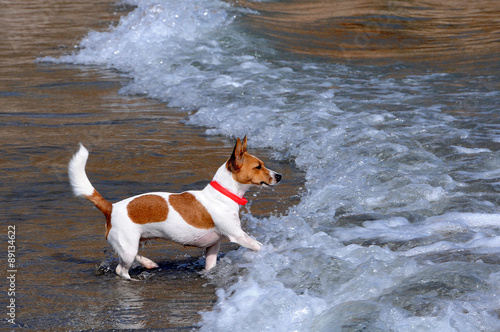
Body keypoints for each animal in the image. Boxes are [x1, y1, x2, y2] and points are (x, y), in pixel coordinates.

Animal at [67, 136, 282, 278]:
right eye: (258, 167)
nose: (279, 176)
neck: (223, 194)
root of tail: (111, 208)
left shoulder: (213, 246)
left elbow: (210, 265)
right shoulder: (238, 236)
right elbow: (259, 246)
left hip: (131, 244)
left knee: (133, 256)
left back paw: (148, 263)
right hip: (127, 247)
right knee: (121, 270)